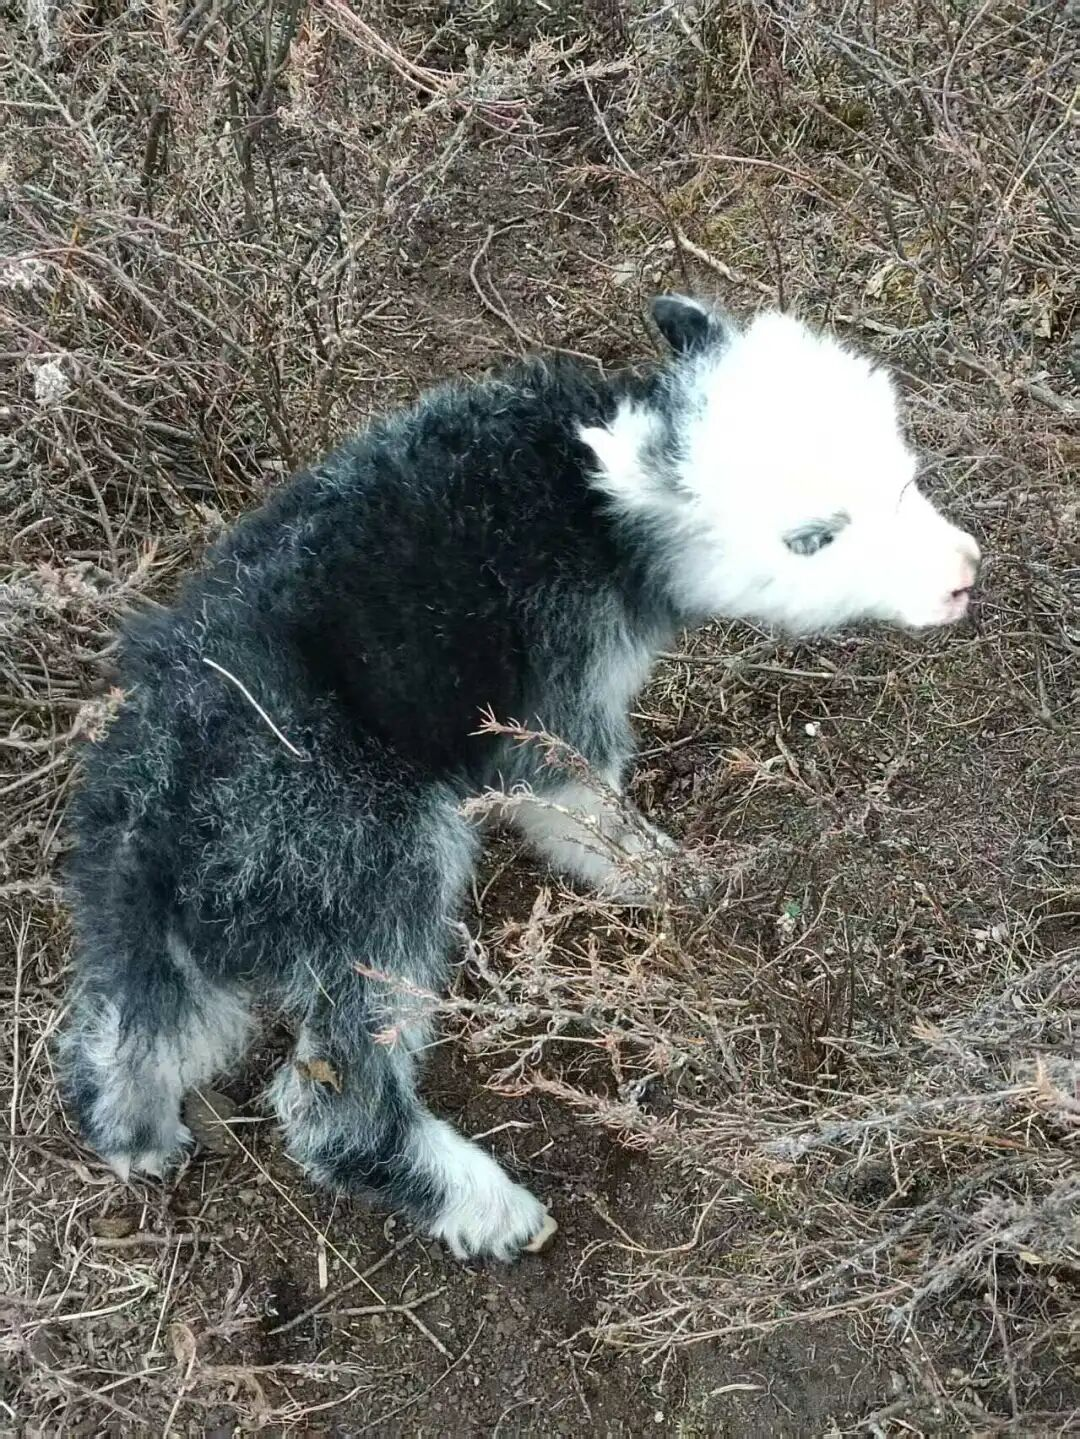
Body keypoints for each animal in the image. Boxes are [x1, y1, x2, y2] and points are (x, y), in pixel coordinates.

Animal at [59, 296, 980, 1261]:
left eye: (905, 475)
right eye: (812, 539)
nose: (963, 576)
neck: (585, 501)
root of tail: (159, 818)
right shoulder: (553, 706)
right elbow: (585, 813)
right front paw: (675, 878)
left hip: (151, 926)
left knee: (135, 1022)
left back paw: (134, 1133)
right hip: (367, 863)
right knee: (331, 1094)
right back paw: (483, 1206)